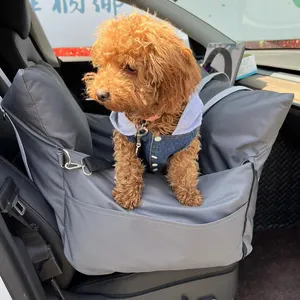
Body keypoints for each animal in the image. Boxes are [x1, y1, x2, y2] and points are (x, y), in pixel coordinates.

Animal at [83, 11, 203, 209]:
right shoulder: (127, 141)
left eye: (130, 68)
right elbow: (128, 166)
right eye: (103, 64)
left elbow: (184, 169)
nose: (100, 94)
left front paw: (189, 194)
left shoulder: (186, 145)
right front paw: (126, 194)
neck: (150, 118)